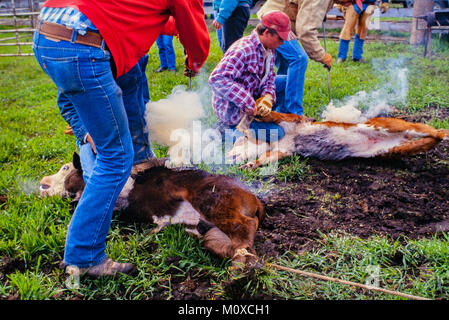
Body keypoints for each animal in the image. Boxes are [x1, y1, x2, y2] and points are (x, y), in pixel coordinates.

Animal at [40, 154, 264, 268]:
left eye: (65, 168)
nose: (42, 184)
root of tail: (254, 199)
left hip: (211, 201)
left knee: (244, 224)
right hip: (212, 235)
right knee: (232, 244)